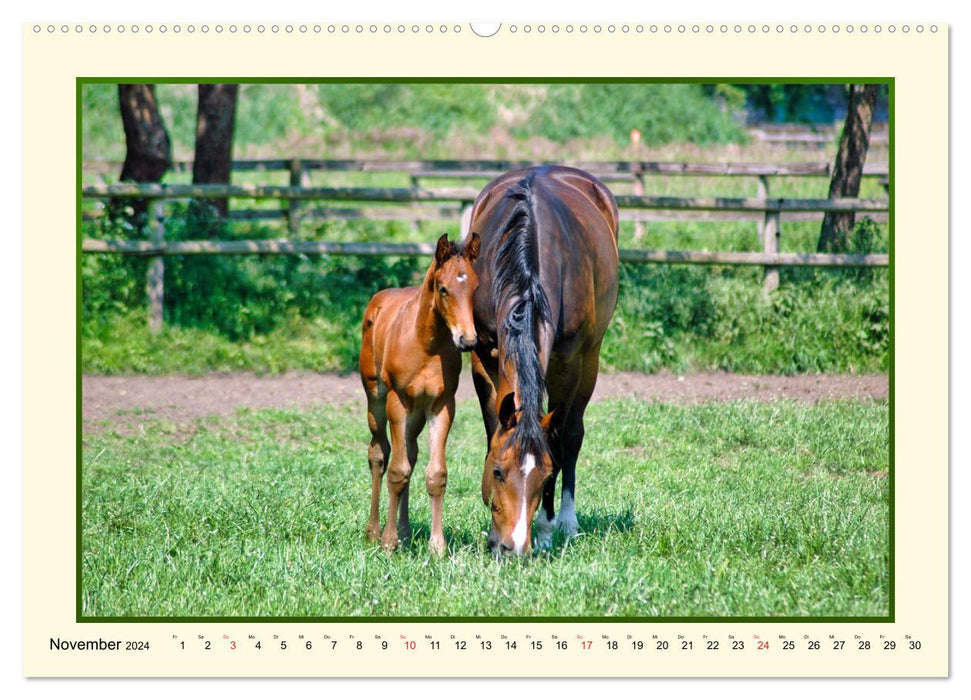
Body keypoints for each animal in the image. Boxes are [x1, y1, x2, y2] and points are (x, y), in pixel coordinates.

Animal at [358, 232, 480, 556]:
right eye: (443, 288)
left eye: (476, 287)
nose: (467, 340)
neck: (427, 345)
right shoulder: (398, 402)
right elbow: (396, 471)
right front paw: (388, 543)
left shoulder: (441, 405)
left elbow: (435, 474)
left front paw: (437, 546)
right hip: (376, 399)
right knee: (379, 453)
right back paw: (374, 532)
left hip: (416, 414)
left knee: (410, 454)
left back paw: (405, 530)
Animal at [468, 167, 620, 556]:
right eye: (498, 472)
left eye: (546, 474)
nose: (513, 547)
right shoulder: (482, 355)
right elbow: (492, 429)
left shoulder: (569, 362)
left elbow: (560, 437)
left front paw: (547, 528)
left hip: (590, 357)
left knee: (573, 434)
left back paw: (567, 521)